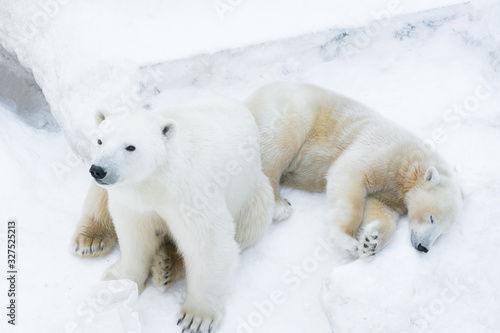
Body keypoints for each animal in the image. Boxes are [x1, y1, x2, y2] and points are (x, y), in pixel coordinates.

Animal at [246, 81, 464, 258]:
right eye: (432, 218)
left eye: (443, 232)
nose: (423, 247)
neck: (409, 161)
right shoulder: (383, 149)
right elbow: (349, 174)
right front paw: (347, 242)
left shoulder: (393, 193)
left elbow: (379, 208)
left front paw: (371, 241)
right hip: (291, 110)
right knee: (278, 146)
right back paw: (279, 205)